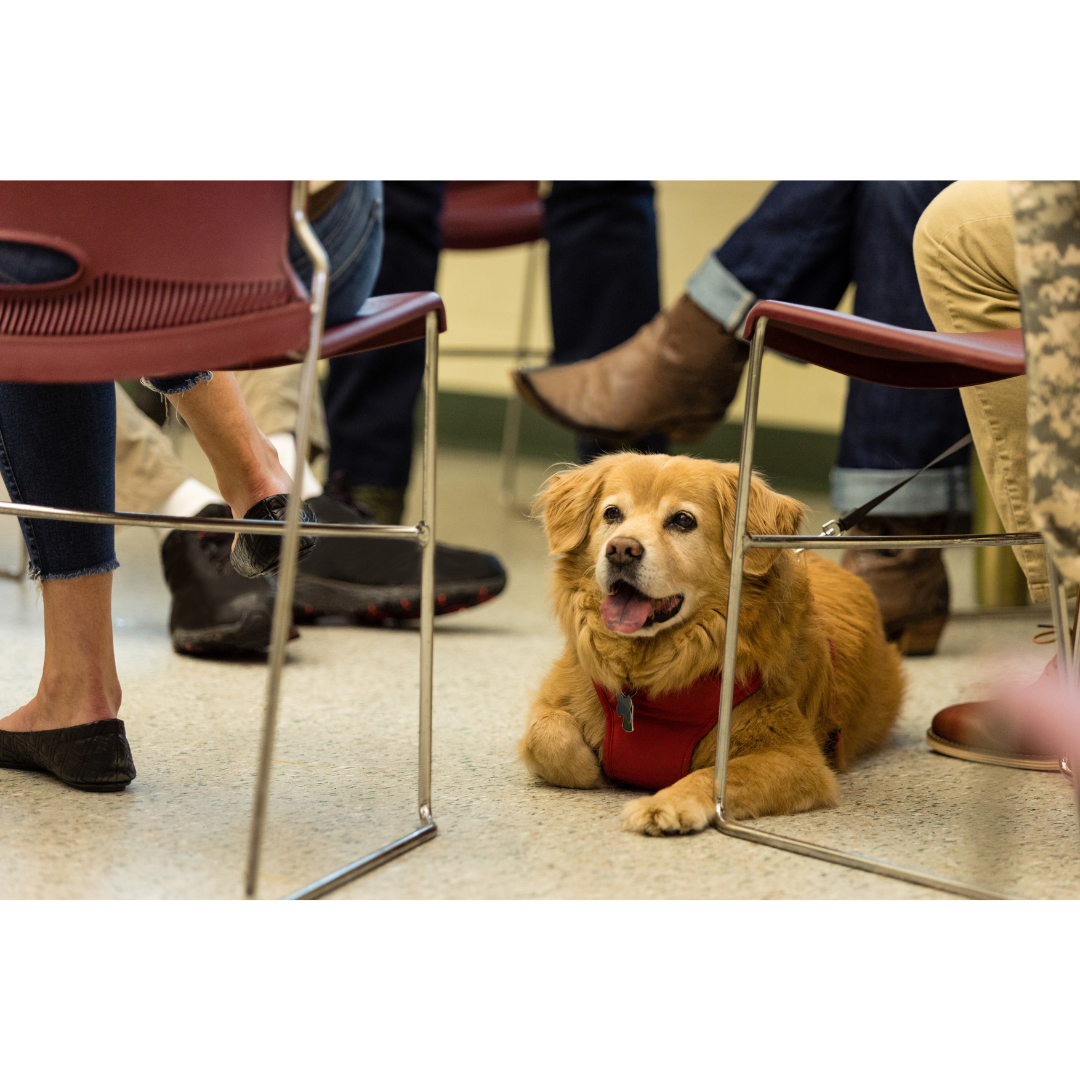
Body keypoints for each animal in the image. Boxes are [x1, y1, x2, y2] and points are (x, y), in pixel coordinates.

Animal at [520, 451, 902, 829]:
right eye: (612, 513)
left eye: (682, 520)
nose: (621, 549)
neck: (646, 674)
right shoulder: (557, 697)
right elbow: (547, 736)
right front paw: (593, 768)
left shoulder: (798, 758)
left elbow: (717, 776)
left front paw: (666, 804)